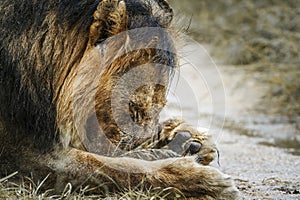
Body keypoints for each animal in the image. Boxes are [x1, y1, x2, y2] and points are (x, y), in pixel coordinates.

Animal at [0, 0, 239, 198]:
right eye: (133, 107)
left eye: (159, 106)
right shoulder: (23, 157)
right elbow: (109, 168)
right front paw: (201, 180)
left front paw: (187, 140)